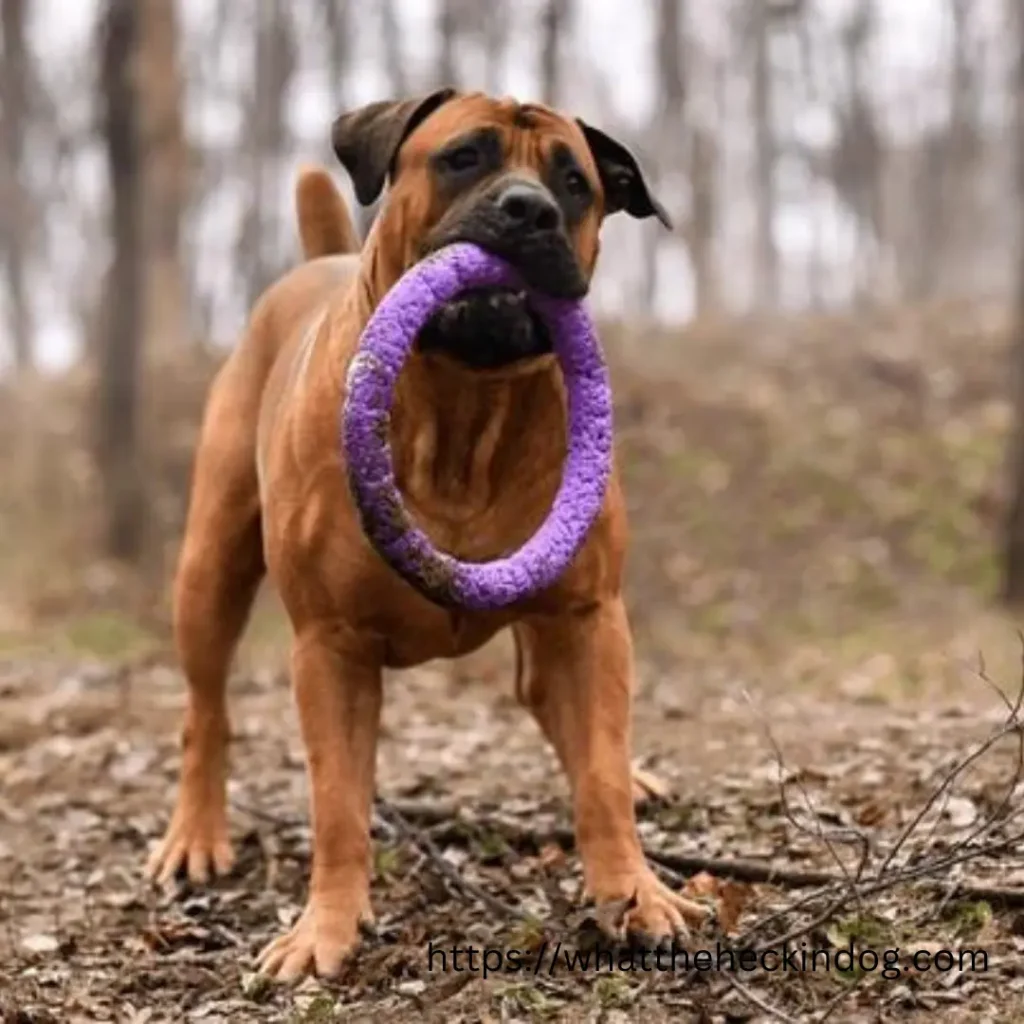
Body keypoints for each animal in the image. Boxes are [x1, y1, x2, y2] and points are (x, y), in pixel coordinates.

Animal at [142, 92, 704, 978]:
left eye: (574, 183)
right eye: (462, 157)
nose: (529, 210)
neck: (464, 409)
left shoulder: (587, 615)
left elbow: (601, 779)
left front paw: (635, 895)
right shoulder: (330, 646)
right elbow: (336, 802)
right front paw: (325, 931)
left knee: (556, 708)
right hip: (210, 567)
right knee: (206, 709)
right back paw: (195, 836)